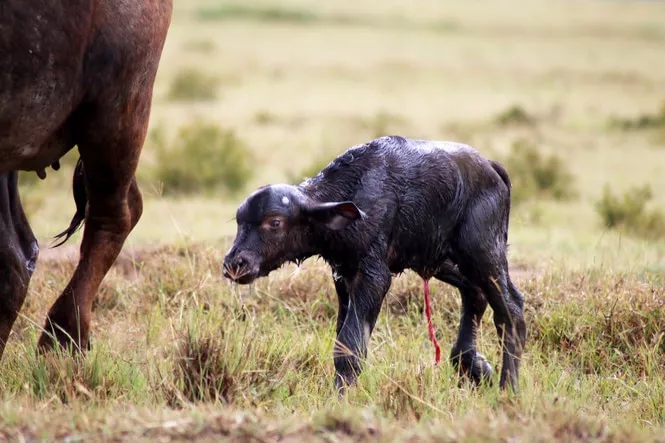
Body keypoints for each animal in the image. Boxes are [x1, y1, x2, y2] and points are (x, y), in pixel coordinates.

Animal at [226, 135, 528, 392]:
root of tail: (491, 168)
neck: (356, 196)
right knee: (474, 293)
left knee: (511, 310)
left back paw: (507, 389)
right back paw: (475, 366)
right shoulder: (343, 276)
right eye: (239, 220)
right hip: (441, 259)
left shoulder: (373, 276)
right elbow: (342, 337)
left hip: (483, 254)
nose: (234, 263)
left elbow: (349, 345)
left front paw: (341, 396)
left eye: (275, 222)